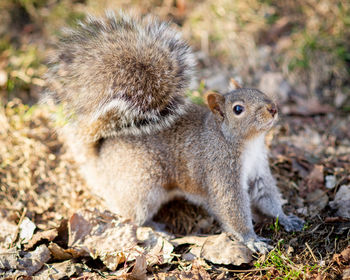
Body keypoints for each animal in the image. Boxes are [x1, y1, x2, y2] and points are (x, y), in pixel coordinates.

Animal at [44, 11, 304, 254]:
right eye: (238, 109)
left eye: (258, 90)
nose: (273, 108)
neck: (246, 143)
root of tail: (98, 160)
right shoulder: (220, 171)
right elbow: (231, 208)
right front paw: (251, 240)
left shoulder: (259, 170)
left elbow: (267, 196)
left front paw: (286, 218)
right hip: (142, 188)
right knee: (132, 219)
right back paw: (158, 229)